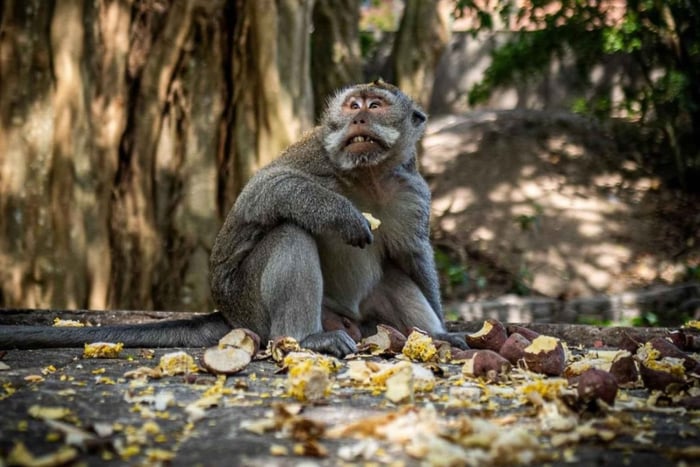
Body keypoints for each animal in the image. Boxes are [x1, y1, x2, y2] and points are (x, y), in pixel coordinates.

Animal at [0, 81, 467, 357]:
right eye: (353, 105)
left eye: (376, 105)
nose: (359, 117)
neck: (366, 176)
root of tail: (230, 317)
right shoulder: (315, 155)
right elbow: (263, 192)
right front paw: (341, 215)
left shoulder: (412, 193)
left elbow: (412, 259)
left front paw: (441, 328)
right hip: (252, 309)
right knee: (289, 232)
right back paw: (305, 338)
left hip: (362, 319)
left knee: (391, 277)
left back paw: (431, 336)